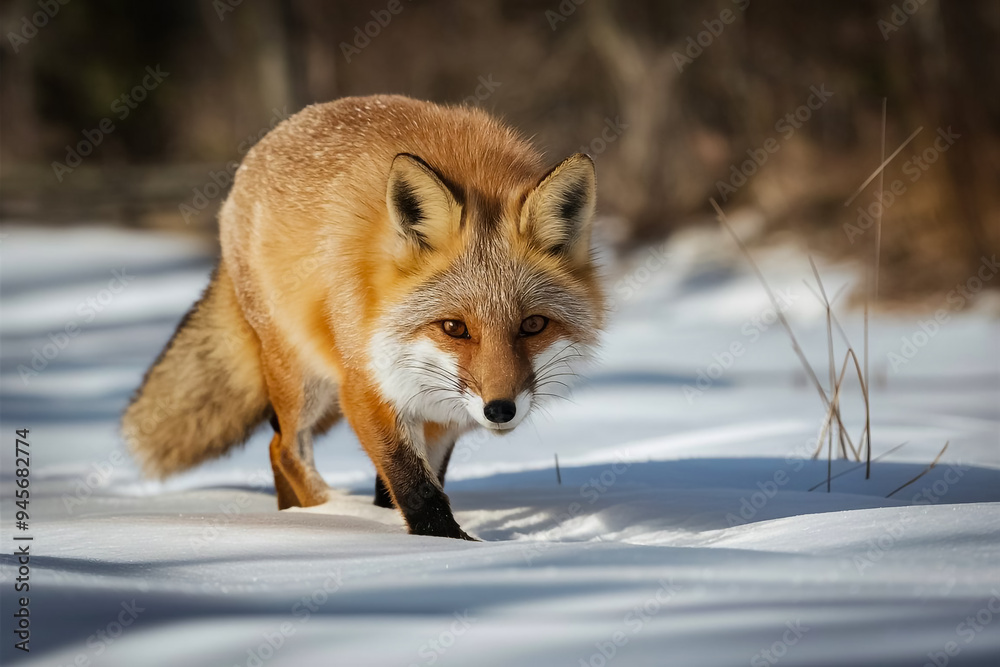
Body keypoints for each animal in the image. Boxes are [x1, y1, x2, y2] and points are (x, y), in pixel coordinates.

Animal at [122, 94, 604, 540]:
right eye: (454, 327)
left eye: (533, 325)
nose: (500, 410)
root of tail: (271, 138)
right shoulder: (366, 387)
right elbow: (415, 486)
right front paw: (450, 545)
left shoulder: (440, 410)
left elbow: (418, 481)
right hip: (304, 377)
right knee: (284, 447)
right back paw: (331, 514)